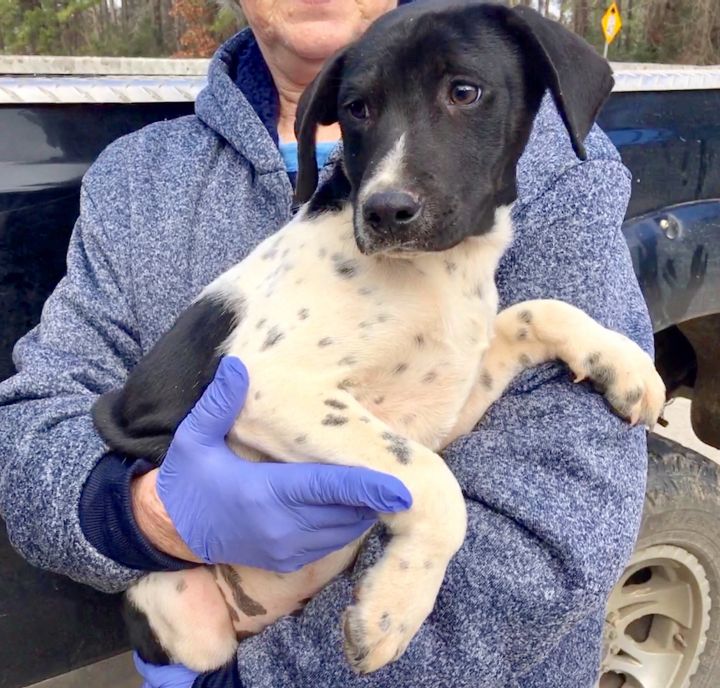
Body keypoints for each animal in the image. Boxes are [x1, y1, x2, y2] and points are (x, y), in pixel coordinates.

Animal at [93, 0, 668, 676]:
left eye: (464, 91)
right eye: (356, 109)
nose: (386, 211)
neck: (435, 273)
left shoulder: (445, 402)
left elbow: (536, 310)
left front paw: (622, 363)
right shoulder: (269, 385)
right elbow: (432, 482)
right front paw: (394, 607)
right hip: (181, 612)